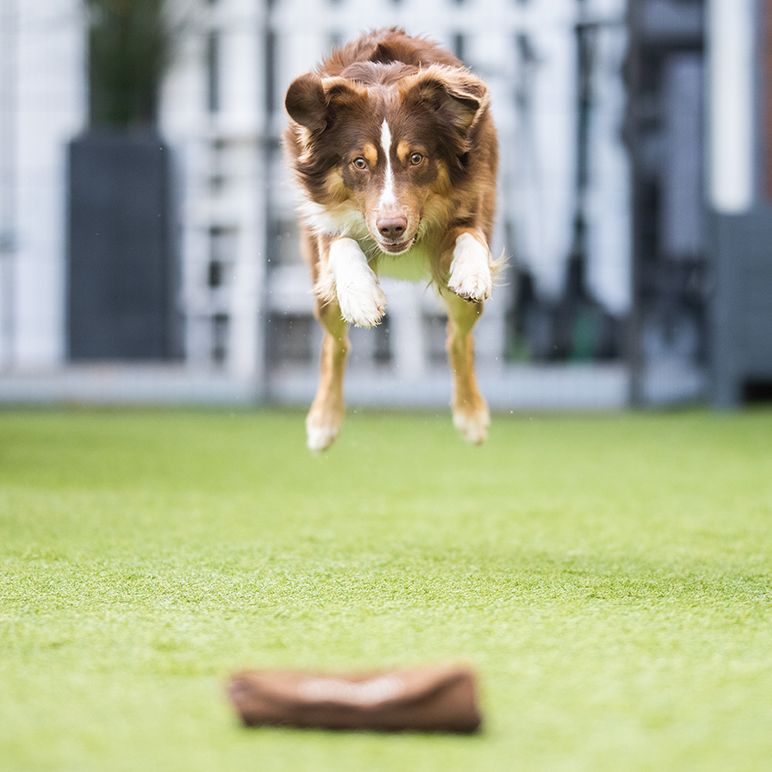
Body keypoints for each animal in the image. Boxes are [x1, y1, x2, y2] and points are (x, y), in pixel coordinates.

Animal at [284, 28, 499, 451]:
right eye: (359, 163)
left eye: (416, 158)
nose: (392, 227)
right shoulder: (328, 222)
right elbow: (342, 245)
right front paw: (363, 297)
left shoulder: (469, 206)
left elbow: (470, 234)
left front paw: (472, 272)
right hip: (322, 296)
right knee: (335, 344)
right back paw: (323, 422)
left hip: (463, 309)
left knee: (457, 339)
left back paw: (471, 416)